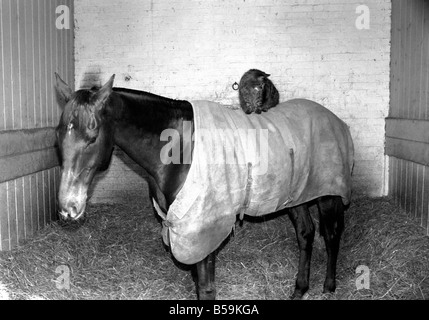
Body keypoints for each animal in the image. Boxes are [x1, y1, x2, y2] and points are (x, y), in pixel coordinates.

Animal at [55, 72, 352, 300]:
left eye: (92, 136)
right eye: (58, 136)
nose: (69, 208)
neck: (176, 146)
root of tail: (336, 120)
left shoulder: (204, 226)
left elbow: (206, 288)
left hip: (328, 196)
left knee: (331, 235)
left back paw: (329, 287)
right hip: (296, 196)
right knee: (306, 234)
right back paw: (299, 289)